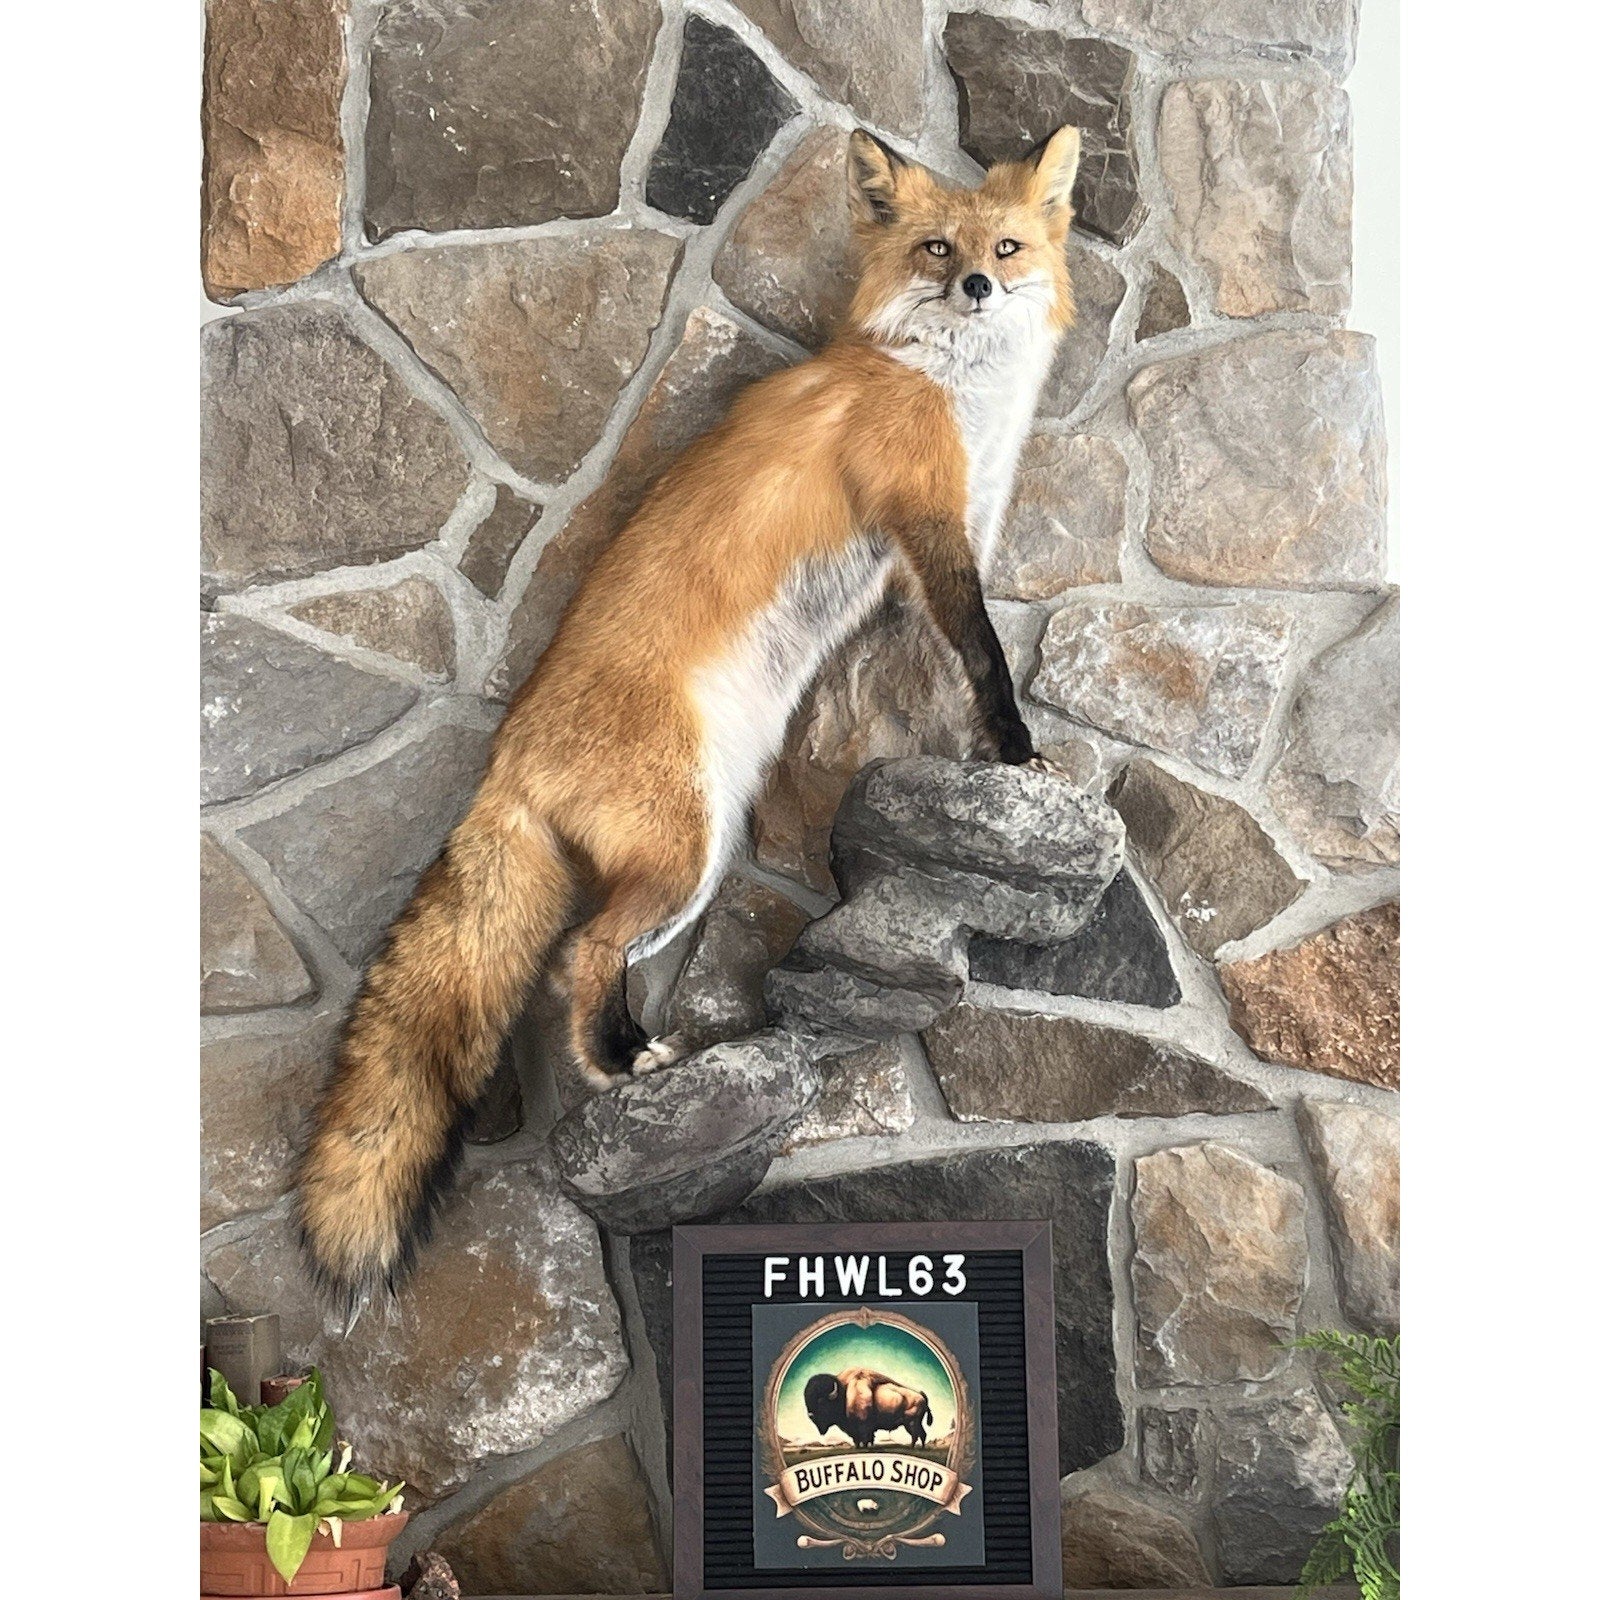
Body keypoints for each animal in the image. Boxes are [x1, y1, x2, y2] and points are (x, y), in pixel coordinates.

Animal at [296, 124, 1085, 1301]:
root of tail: (508, 757)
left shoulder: (932, 555)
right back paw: (623, 1063)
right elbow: (985, 659)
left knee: (586, 963)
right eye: (937, 249)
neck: (936, 375)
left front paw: (971, 753)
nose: (980, 287)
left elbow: (934, 674)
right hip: (686, 851)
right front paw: (1017, 748)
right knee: (576, 958)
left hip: (694, 864)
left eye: (1006, 245)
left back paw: (609, 1068)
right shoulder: (928, 523)